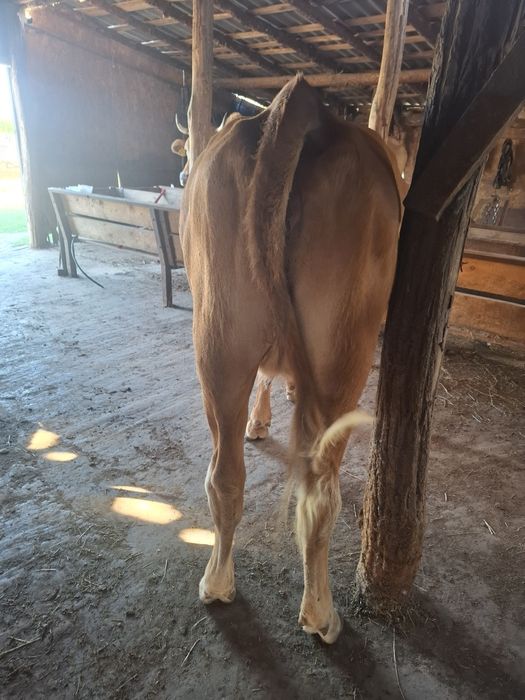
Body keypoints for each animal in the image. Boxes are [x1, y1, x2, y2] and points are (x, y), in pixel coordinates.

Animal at [179, 75, 403, 644]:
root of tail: (299, 103)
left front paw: (260, 420)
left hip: (219, 343)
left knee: (226, 475)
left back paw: (218, 584)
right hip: (340, 356)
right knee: (317, 490)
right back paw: (320, 613)